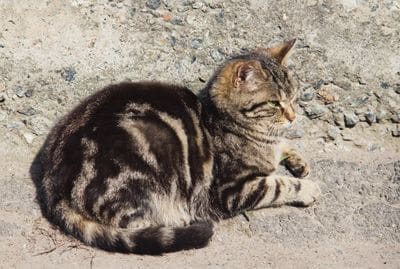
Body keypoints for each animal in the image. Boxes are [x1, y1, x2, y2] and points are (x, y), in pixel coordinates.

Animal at [33, 38, 322, 253]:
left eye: (294, 97)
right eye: (274, 103)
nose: (293, 116)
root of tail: (52, 187)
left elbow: (283, 146)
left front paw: (297, 160)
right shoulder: (232, 190)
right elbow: (278, 185)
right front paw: (308, 187)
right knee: (132, 225)